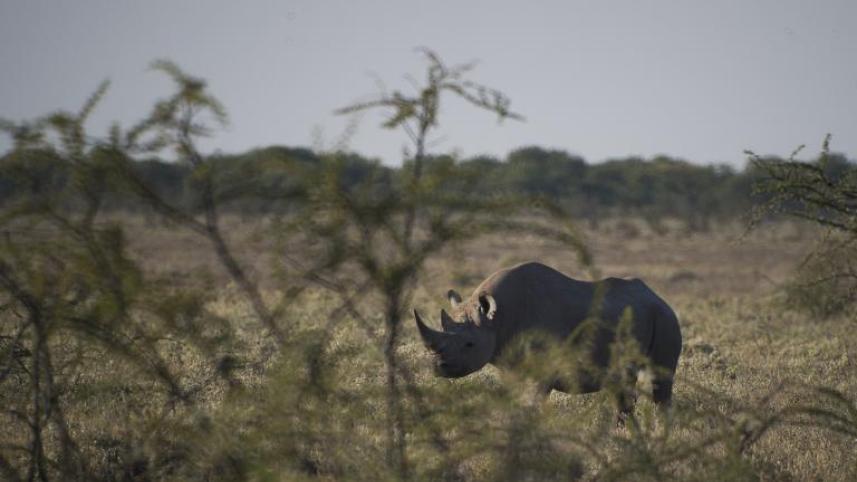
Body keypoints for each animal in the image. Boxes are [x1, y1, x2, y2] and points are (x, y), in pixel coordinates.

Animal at [413, 262, 682, 414]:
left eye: (469, 344)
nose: (438, 367)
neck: (497, 319)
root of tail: (659, 298)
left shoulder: (544, 367)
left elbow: (534, 402)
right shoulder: (512, 363)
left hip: (666, 319)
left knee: (659, 384)